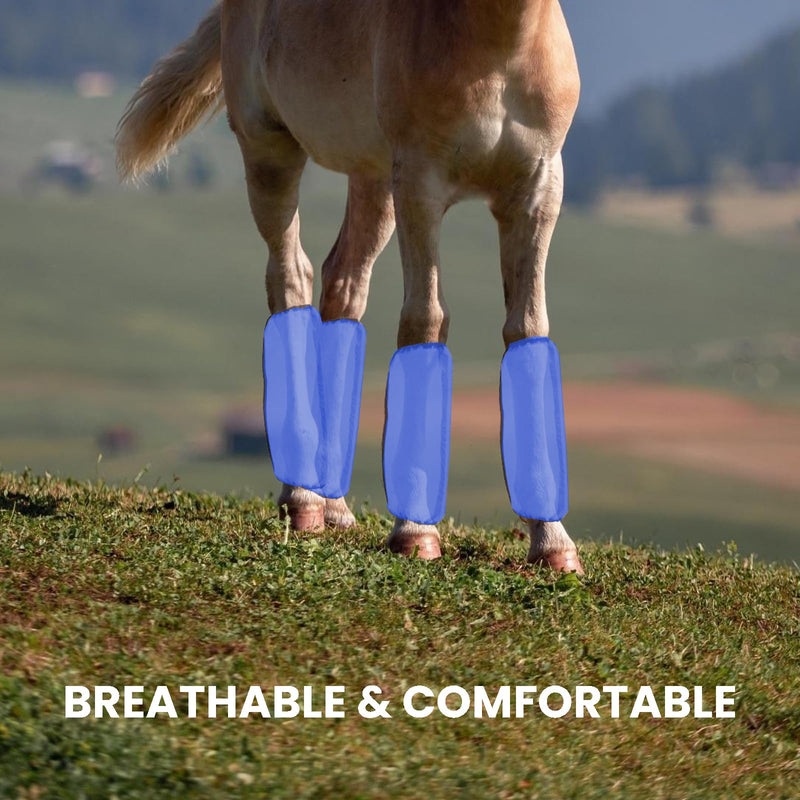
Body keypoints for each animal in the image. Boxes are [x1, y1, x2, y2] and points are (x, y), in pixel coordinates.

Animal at [117, 0, 583, 574]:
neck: (500, 46)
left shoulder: (539, 189)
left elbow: (527, 328)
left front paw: (553, 541)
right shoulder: (421, 185)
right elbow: (425, 320)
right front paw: (415, 532)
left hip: (373, 176)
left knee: (342, 287)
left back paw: (333, 503)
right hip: (271, 149)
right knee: (291, 277)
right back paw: (302, 501)